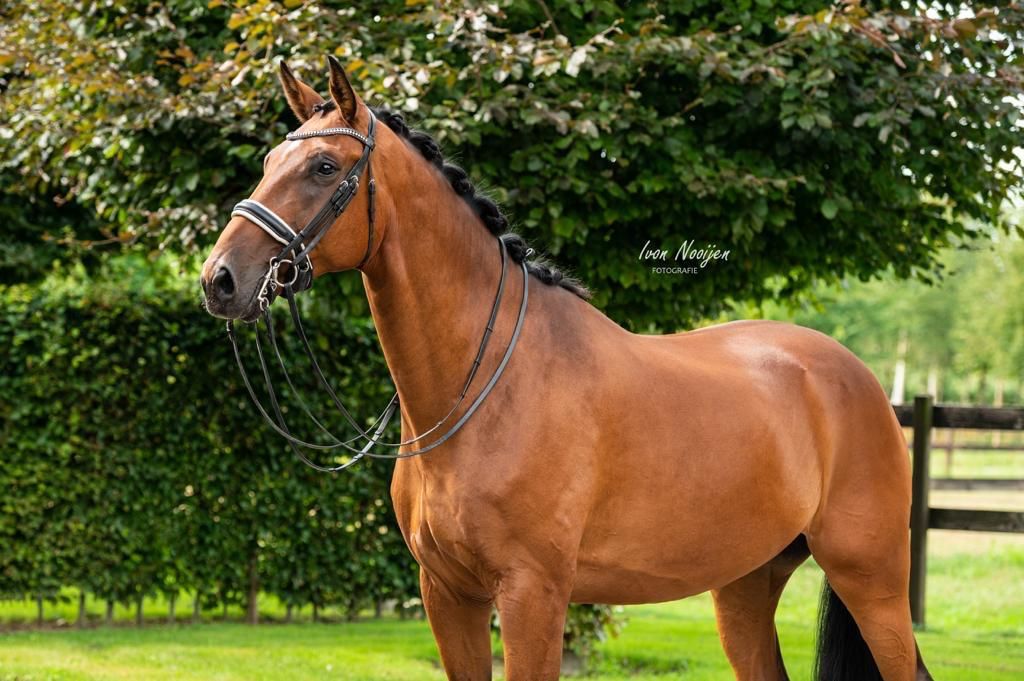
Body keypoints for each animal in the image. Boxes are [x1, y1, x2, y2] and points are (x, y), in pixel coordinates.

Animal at [200, 57, 933, 681]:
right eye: (269, 161)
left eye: (324, 166)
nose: (221, 280)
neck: (489, 385)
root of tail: (857, 378)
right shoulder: (448, 594)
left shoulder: (533, 595)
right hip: (746, 585)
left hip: (871, 579)